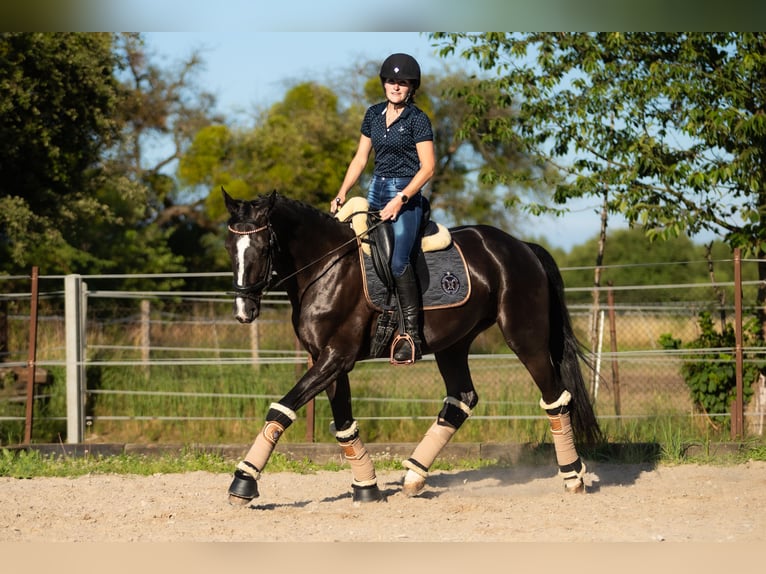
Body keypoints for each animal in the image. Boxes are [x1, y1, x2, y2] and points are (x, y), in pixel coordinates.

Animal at [225, 190, 604, 508]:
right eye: (231, 246)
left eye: (262, 247)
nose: (243, 312)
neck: (326, 267)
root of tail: (521, 247)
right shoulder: (328, 360)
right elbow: (344, 423)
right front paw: (367, 488)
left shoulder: (335, 358)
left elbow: (280, 410)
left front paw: (243, 483)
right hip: (453, 344)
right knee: (461, 399)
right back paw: (414, 476)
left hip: (526, 338)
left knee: (555, 397)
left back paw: (573, 477)